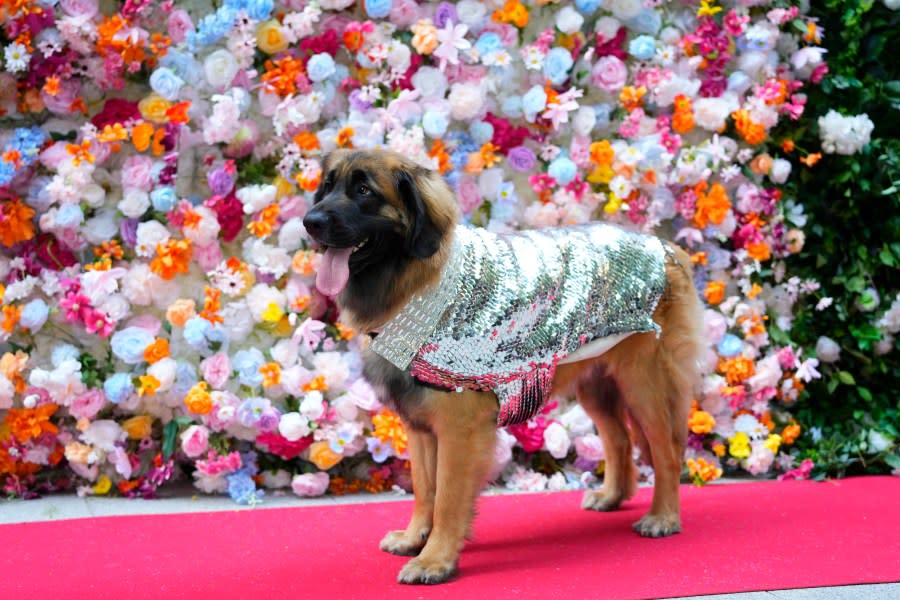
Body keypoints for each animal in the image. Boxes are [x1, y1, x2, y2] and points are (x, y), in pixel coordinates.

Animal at [302, 148, 704, 584]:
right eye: (327, 186)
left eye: (364, 191)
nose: (311, 222)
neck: (419, 284)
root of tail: (664, 246)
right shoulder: (420, 424)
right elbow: (425, 488)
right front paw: (415, 538)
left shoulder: (459, 428)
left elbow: (447, 495)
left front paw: (434, 558)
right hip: (597, 382)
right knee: (620, 440)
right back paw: (613, 496)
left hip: (644, 381)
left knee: (666, 449)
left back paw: (663, 516)